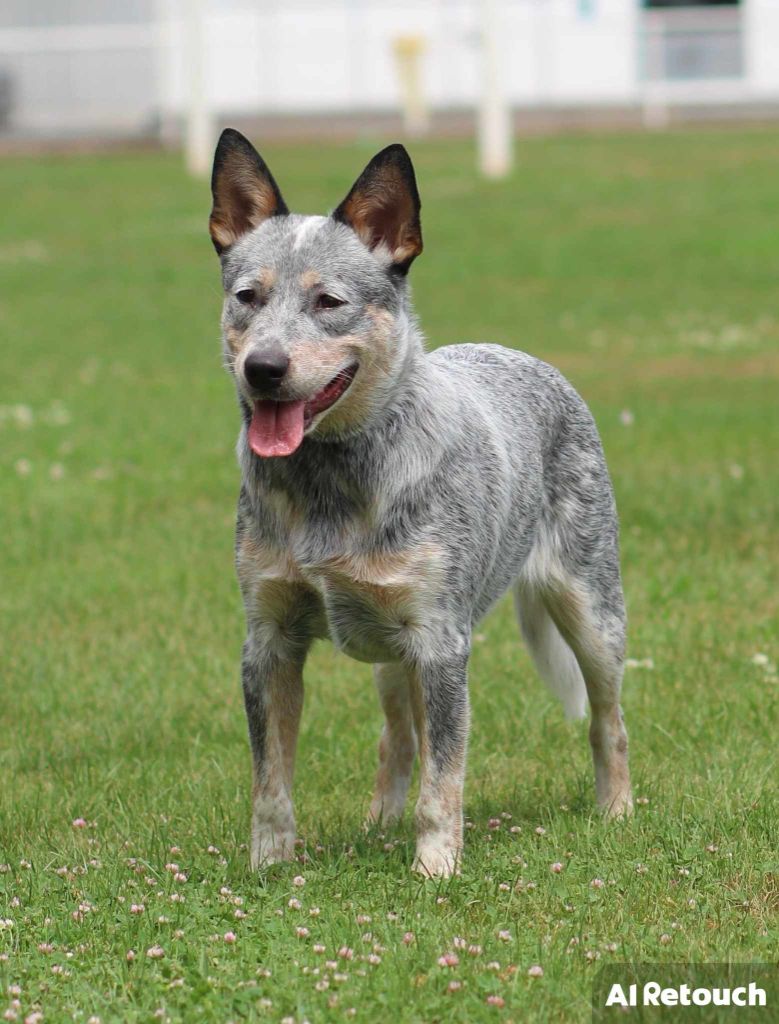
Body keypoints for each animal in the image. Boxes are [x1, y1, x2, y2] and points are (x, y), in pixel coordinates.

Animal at [207, 128, 630, 880]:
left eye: (329, 302)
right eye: (248, 296)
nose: (263, 369)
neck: (330, 483)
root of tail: (521, 354)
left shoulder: (439, 641)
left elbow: (446, 776)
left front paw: (435, 869)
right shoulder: (269, 640)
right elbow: (271, 780)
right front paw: (269, 866)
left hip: (591, 610)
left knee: (608, 720)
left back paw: (616, 810)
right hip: (388, 649)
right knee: (396, 737)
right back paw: (379, 822)